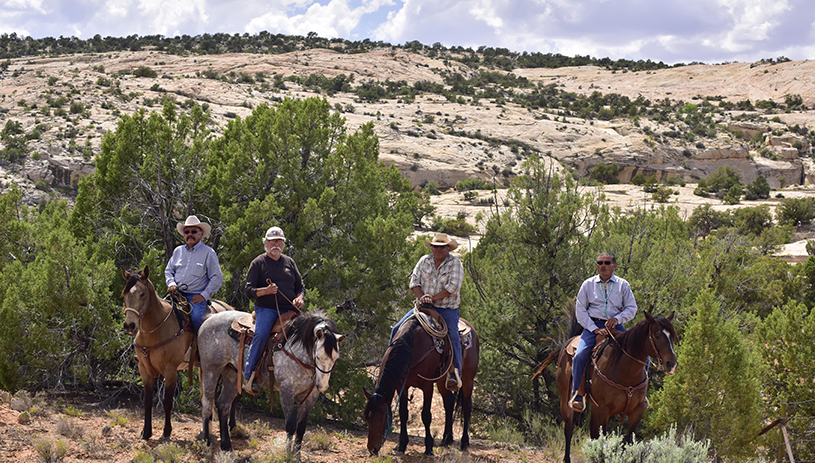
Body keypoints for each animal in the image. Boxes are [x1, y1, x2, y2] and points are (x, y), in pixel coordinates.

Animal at [122, 266, 234, 440]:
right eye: (125, 294)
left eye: (142, 294)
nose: (129, 325)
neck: (157, 328)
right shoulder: (144, 369)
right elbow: (147, 402)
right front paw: (146, 432)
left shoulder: (170, 370)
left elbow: (168, 402)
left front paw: (166, 432)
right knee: (206, 397)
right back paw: (205, 431)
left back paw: (232, 427)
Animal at [198, 310, 344, 458]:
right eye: (318, 356)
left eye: (336, 358)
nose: (322, 386)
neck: (297, 351)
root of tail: (210, 318)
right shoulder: (286, 390)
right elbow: (291, 425)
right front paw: (287, 455)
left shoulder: (310, 396)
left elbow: (301, 427)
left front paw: (296, 456)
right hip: (211, 370)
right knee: (207, 404)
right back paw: (206, 441)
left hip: (232, 375)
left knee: (223, 405)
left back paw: (226, 445)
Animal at [364, 312, 478, 456]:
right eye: (367, 419)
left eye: (381, 419)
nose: (372, 449)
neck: (412, 348)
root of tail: (471, 328)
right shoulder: (402, 385)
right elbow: (403, 413)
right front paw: (401, 445)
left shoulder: (427, 386)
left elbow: (426, 415)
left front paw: (428, 447)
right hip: (442, 382)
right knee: (449, 403)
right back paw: (446, 440)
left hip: (468, 379)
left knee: (467, 406)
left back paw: (464, 443)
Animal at [540, 312, 680, 463]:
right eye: (657, 335)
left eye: (672, 336)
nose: (672, 364)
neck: (626, 372)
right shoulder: (603, 409)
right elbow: (601, 441)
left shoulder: (637, 410)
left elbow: (627, 442)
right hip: (566, 401)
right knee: (569, 428)